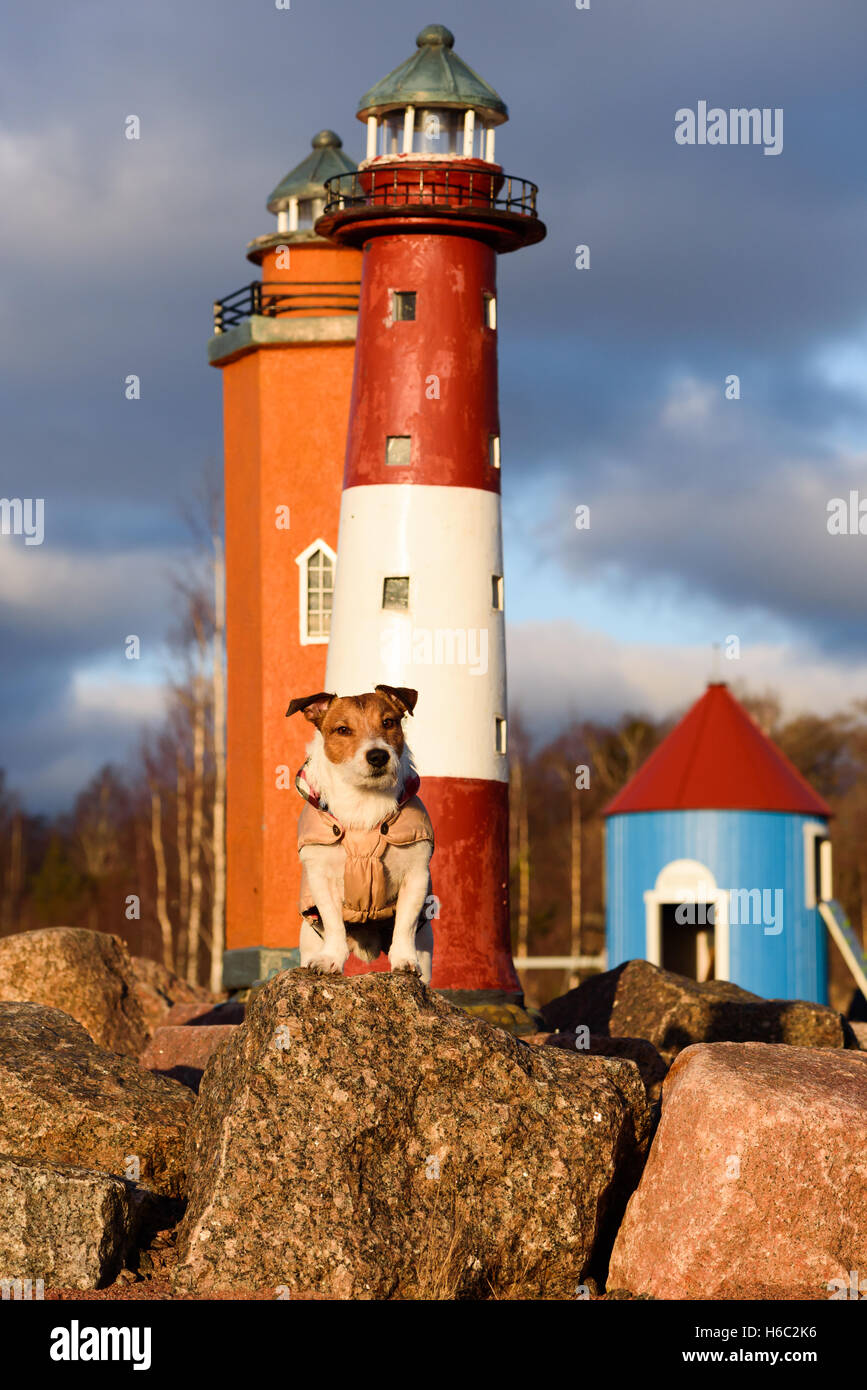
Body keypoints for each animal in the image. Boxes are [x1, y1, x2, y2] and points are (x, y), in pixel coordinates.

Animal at [284, 683, 433, 978]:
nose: (378, 755)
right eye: (343, 729)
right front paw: (330, 958)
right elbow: (333, 923)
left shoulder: (416, 876)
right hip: (308, 934)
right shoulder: (321, 879)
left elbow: (405, 924)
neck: (364, 800)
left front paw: (404, 960)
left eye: (388, 722)